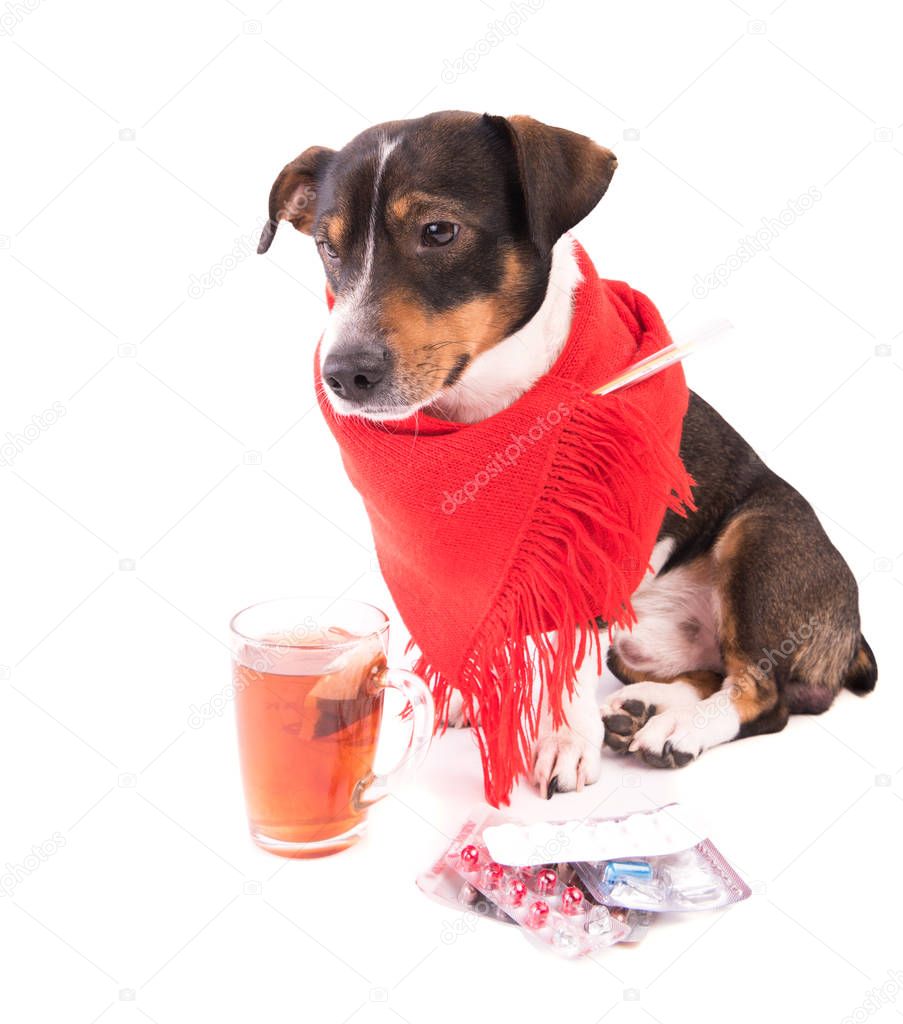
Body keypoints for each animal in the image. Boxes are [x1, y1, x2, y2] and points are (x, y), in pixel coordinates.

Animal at [256, 112, 876, 798]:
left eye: (438, 231)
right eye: (327, 246)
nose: (343, 374)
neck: (487, 413)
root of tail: (851, 637)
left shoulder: (589, 552)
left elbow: (568, 665)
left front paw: (566, 743)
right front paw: (474, 695)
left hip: (764, 535)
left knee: (768, 694)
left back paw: (679, 730)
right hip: (639, 648)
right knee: (709, 671)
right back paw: (644, 706)